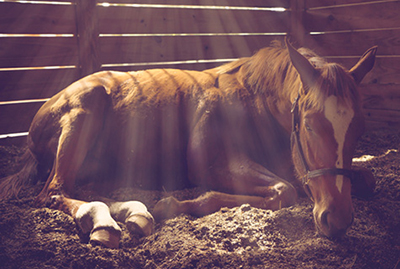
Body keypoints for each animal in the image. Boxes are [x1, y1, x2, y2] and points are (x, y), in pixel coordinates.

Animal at [0, 39, 376, 247]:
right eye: (310, 124)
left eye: (360, 127)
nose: (337, 220)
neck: (253, 101)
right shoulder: (209, 162)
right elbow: (285, 191)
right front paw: (174, 205)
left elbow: (360, 179)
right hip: (84, 110)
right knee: (54, 192)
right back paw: (106, 224)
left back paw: (135, 212)